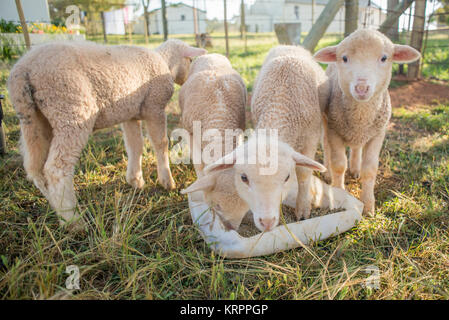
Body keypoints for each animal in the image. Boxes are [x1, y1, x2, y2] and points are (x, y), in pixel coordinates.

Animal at [7, 39, 206, 230]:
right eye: (189, 60)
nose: (186, 79)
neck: (165, 62)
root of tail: (24, 69)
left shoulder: (130, 115)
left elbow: (135, 146)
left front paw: (135, 180)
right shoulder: (154, 107)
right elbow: (160, 143)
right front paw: (167, 181)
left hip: (33, 119)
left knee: (35, 169)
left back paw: (58, 210)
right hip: (70, 110)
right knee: (56, 169)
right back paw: (74, 221)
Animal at [178, 53, 248, 230]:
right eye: (217, 206)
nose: (231, 229)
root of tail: (210, 54)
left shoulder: (239, 129)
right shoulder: (190, 132)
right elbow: (199, 165)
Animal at [200, 45, 326, 231]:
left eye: (287, 177)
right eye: (243, 178)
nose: (267, 223)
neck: (281, 101)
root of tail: (289, 46)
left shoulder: (311, 136)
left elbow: (304, 174)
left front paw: (303, 208)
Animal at [312, 29, 420, 215]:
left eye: (384, 58)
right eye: (344, 58)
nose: (361, 88)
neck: (360, 116)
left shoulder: (378, 134)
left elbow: (369, 169)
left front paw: (368, 206)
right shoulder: (334, 130)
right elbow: (338, 164)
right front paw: (339, 192)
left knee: (356, 148)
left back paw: (355, 169)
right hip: (327, 121)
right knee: (326, 146)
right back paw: (328, 173)